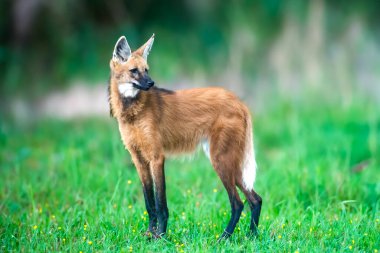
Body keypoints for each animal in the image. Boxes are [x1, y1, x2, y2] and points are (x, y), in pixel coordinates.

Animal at [107, 34, 262, 240]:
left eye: (146, 70)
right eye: (134, 71)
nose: (151, 83)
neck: (133, 113)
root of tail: (239, 102)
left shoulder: (156, 157)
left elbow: (160, 203)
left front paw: (160, 237)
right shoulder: (139, 159)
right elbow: (149, 203)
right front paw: (150, 234)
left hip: (220, 161)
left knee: (238, 203)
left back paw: (223, 238)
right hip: (230, 164)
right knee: (255, 199)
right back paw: (252, 236)